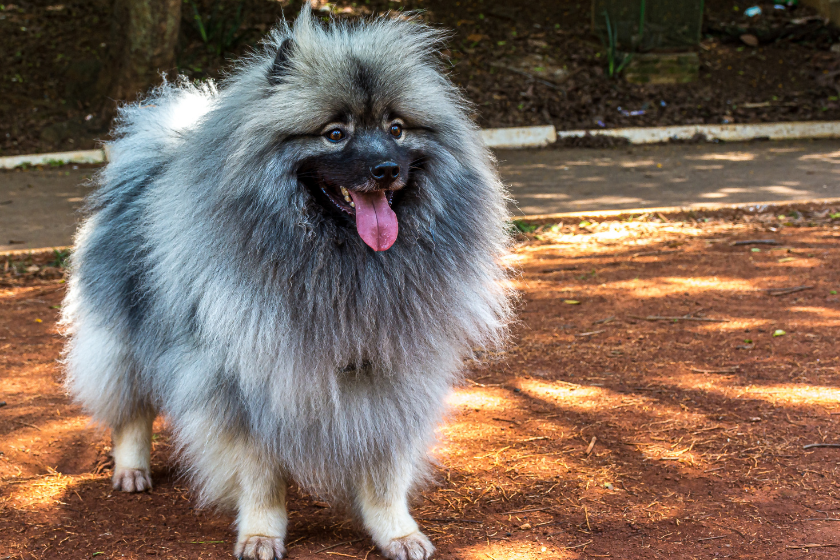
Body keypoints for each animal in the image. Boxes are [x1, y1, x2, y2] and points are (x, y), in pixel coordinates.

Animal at [62, 5, 508, 560]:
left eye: (397, 128)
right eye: (335, 134)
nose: (385, 168)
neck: (343, 264)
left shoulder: (389, 372)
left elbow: (385, 465)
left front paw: (396, 531)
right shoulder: (241, 384)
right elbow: (260, 474)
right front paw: (260, 533)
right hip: (122, 338)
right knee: (130, 409)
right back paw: (131, 469)